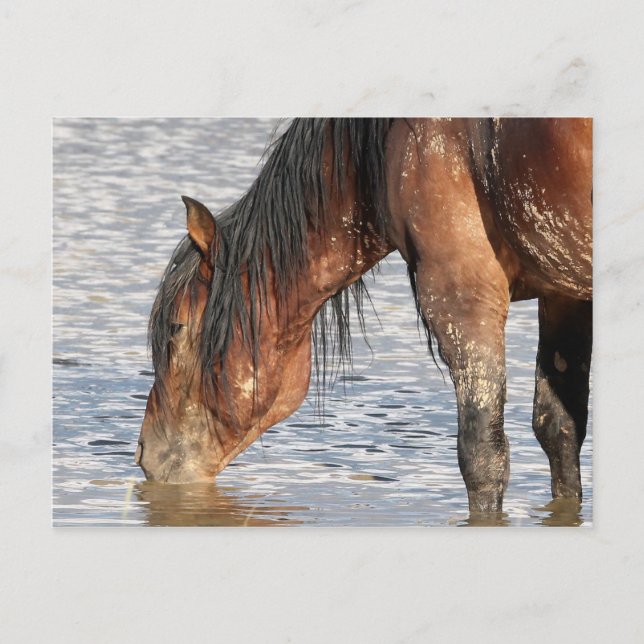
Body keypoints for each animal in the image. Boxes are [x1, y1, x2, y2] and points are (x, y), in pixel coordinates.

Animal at [136, 118, 592, 515]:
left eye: (176, 327)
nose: (143, 453)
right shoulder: (564, 293)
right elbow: (560, 430)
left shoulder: (462, 292)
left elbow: (482, 455)